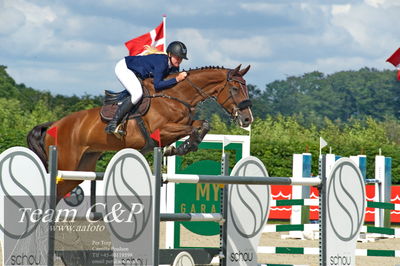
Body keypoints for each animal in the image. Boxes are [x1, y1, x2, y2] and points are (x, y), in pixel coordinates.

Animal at [27, 64, 253, 202]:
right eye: (235, 88)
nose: (247, 119)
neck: (175, 95)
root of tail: (55, 124)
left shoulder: (183, 123)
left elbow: (202, 124)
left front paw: (183, 147)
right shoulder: (161, 130)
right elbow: (193, 128)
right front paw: (182, 147)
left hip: (81, 168)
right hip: (66, 163)